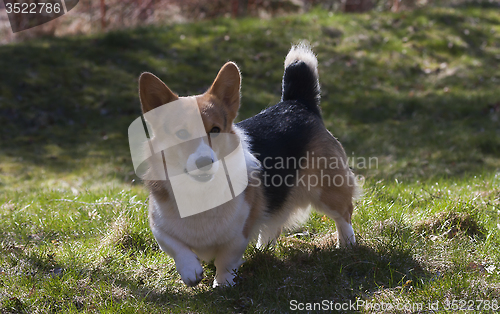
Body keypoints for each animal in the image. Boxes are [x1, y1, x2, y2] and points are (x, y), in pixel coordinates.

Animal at [136, 43, 356, 288]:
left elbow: (226, 260)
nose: (204, 162)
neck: (201, 192)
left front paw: (222, 285)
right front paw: (190, 271)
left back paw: (347, 245)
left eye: (215, 129)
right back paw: (263, 249)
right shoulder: (159, 225)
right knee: (273, 223)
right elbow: (176, 247)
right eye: (181, 133)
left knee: (344, 215)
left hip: (327, 190)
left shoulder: (238, 233)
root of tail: (297, 103)